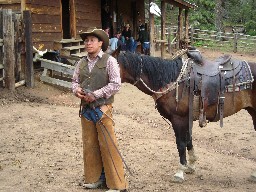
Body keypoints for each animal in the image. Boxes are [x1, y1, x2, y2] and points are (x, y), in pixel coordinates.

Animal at [116, 50, 256, 182]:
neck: (172, 81)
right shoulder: (187, 119)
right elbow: (189, 139)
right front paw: (191, 165)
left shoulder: (179, 119)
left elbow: (181, 143)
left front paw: (180, 172)